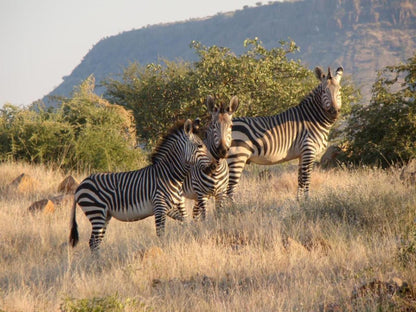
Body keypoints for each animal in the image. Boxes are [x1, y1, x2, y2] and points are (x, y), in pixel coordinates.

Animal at [68, 119, 214, 251]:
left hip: (104, 215)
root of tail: (80, 185)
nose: (213, 166)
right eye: (200, 146)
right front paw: (163, 249)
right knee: (93, 242)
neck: (169, 176)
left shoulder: (172, 207)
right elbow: (161, 234)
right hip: (96, 212)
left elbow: (186, 222)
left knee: (95, 242)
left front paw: (191, 233)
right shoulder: (160, 207)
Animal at [226, 67, 342, 201]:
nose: (334, 111)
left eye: (339, 90)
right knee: (229, 189)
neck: (311, 119)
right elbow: (306, 178)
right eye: (323, 91)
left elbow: (300, 179)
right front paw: (307, 200)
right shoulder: (309, 150)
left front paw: (299, 201)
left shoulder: (302, 154)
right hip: (237, 157)